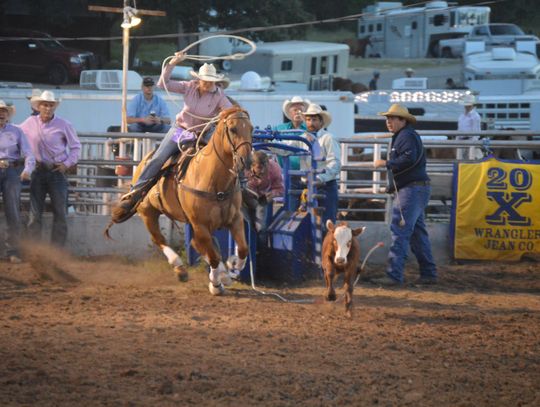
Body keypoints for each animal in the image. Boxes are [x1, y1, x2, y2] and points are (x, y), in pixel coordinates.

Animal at [109, 107, 255, 294]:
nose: (247, 160)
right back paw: (180, 268)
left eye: (251, 129)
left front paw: (232, 265)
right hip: (148, 212)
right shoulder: (200, 224)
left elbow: (243, 248)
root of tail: (144, 161)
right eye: (232, 129)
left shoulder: (234, 219)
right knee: (159, 239)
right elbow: (213, 256)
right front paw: (216, 283)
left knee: (197, 244)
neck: (214, 181)